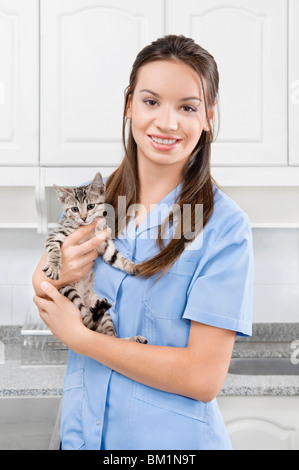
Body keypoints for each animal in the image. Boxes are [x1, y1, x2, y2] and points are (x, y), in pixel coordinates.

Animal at [42, 171, 148, 344]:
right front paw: (53, 266)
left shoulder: (104, 245)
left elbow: (117, 258)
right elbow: (54, 249)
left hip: (106, 316)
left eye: (90, 206)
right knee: (87, 323)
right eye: (74, 209)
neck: (88, 229)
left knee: (110, 338)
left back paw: (132, 339)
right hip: (68, 289)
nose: (84, 217)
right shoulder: (56, 234)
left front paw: (134, 267)